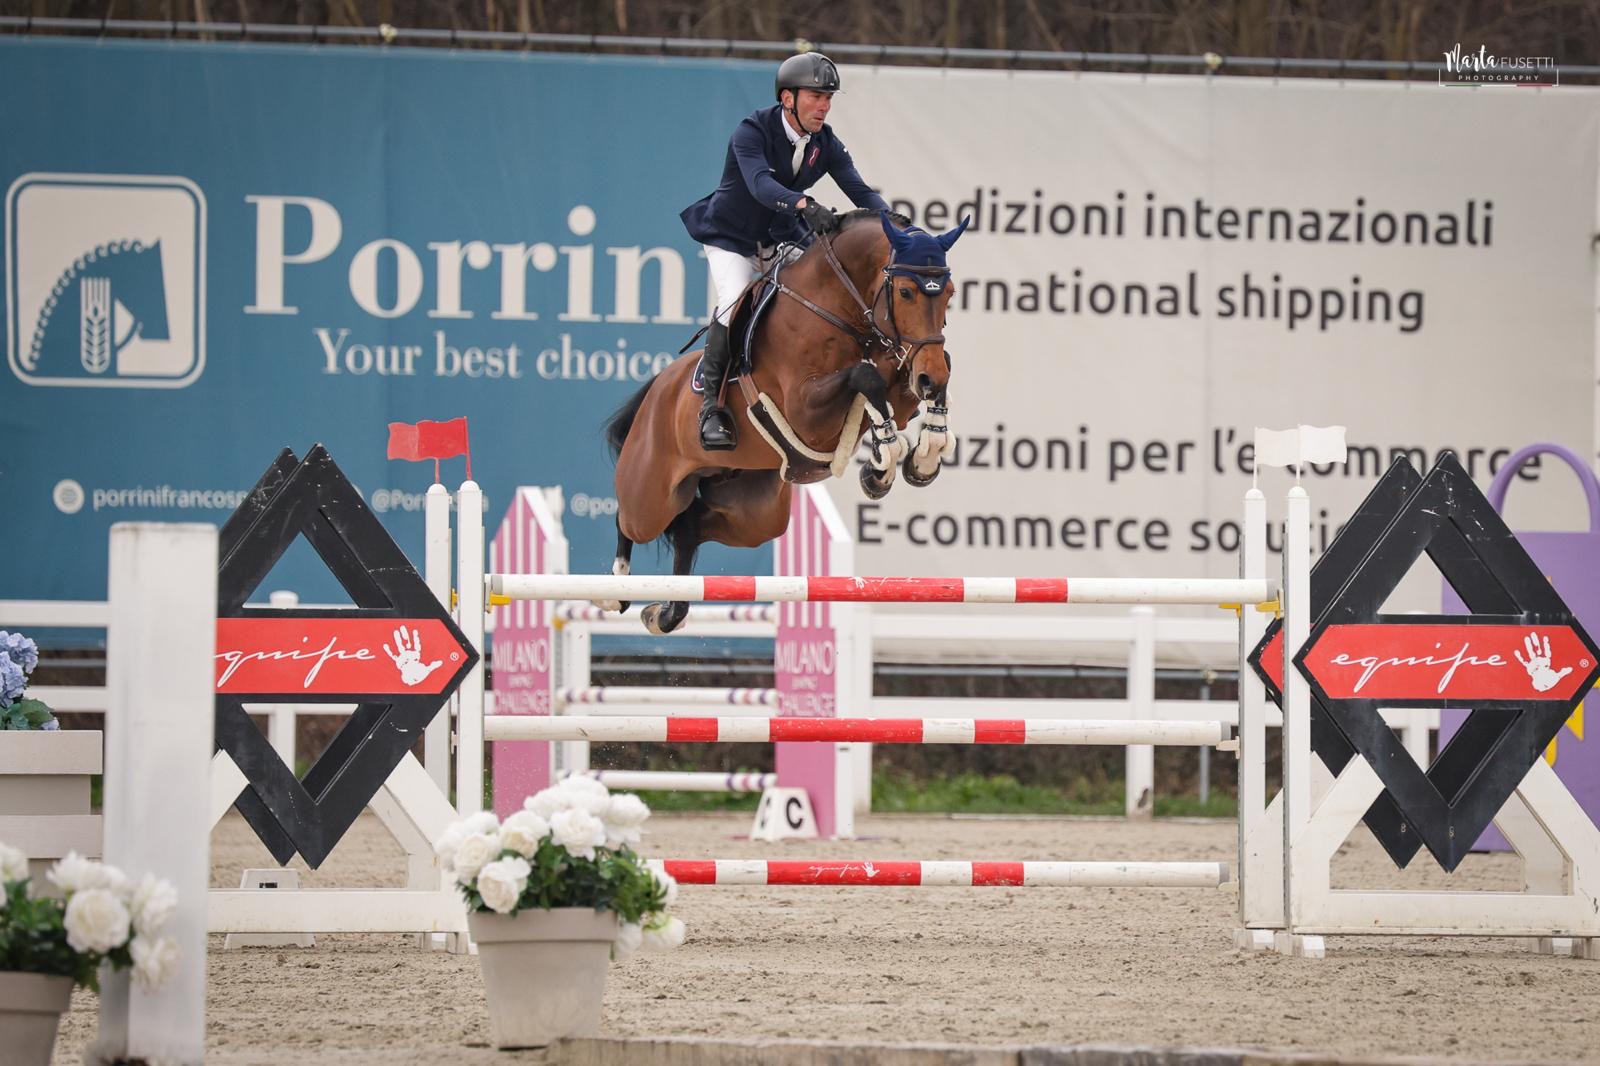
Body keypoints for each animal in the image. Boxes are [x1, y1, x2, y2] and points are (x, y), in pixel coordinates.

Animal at [601, 209, 966, 630]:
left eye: (949, 293)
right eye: (906, 292)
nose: (929, 377)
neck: (836, 307)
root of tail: (657, 389)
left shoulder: (903, 373)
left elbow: (912, 385)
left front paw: (918, 459)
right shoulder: (805, 412)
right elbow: (866, 377)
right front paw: (886, 459)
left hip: (754, 512)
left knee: (690, 527)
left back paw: (665, 613)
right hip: (651, 494)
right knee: (629, 518)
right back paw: (614, 591)